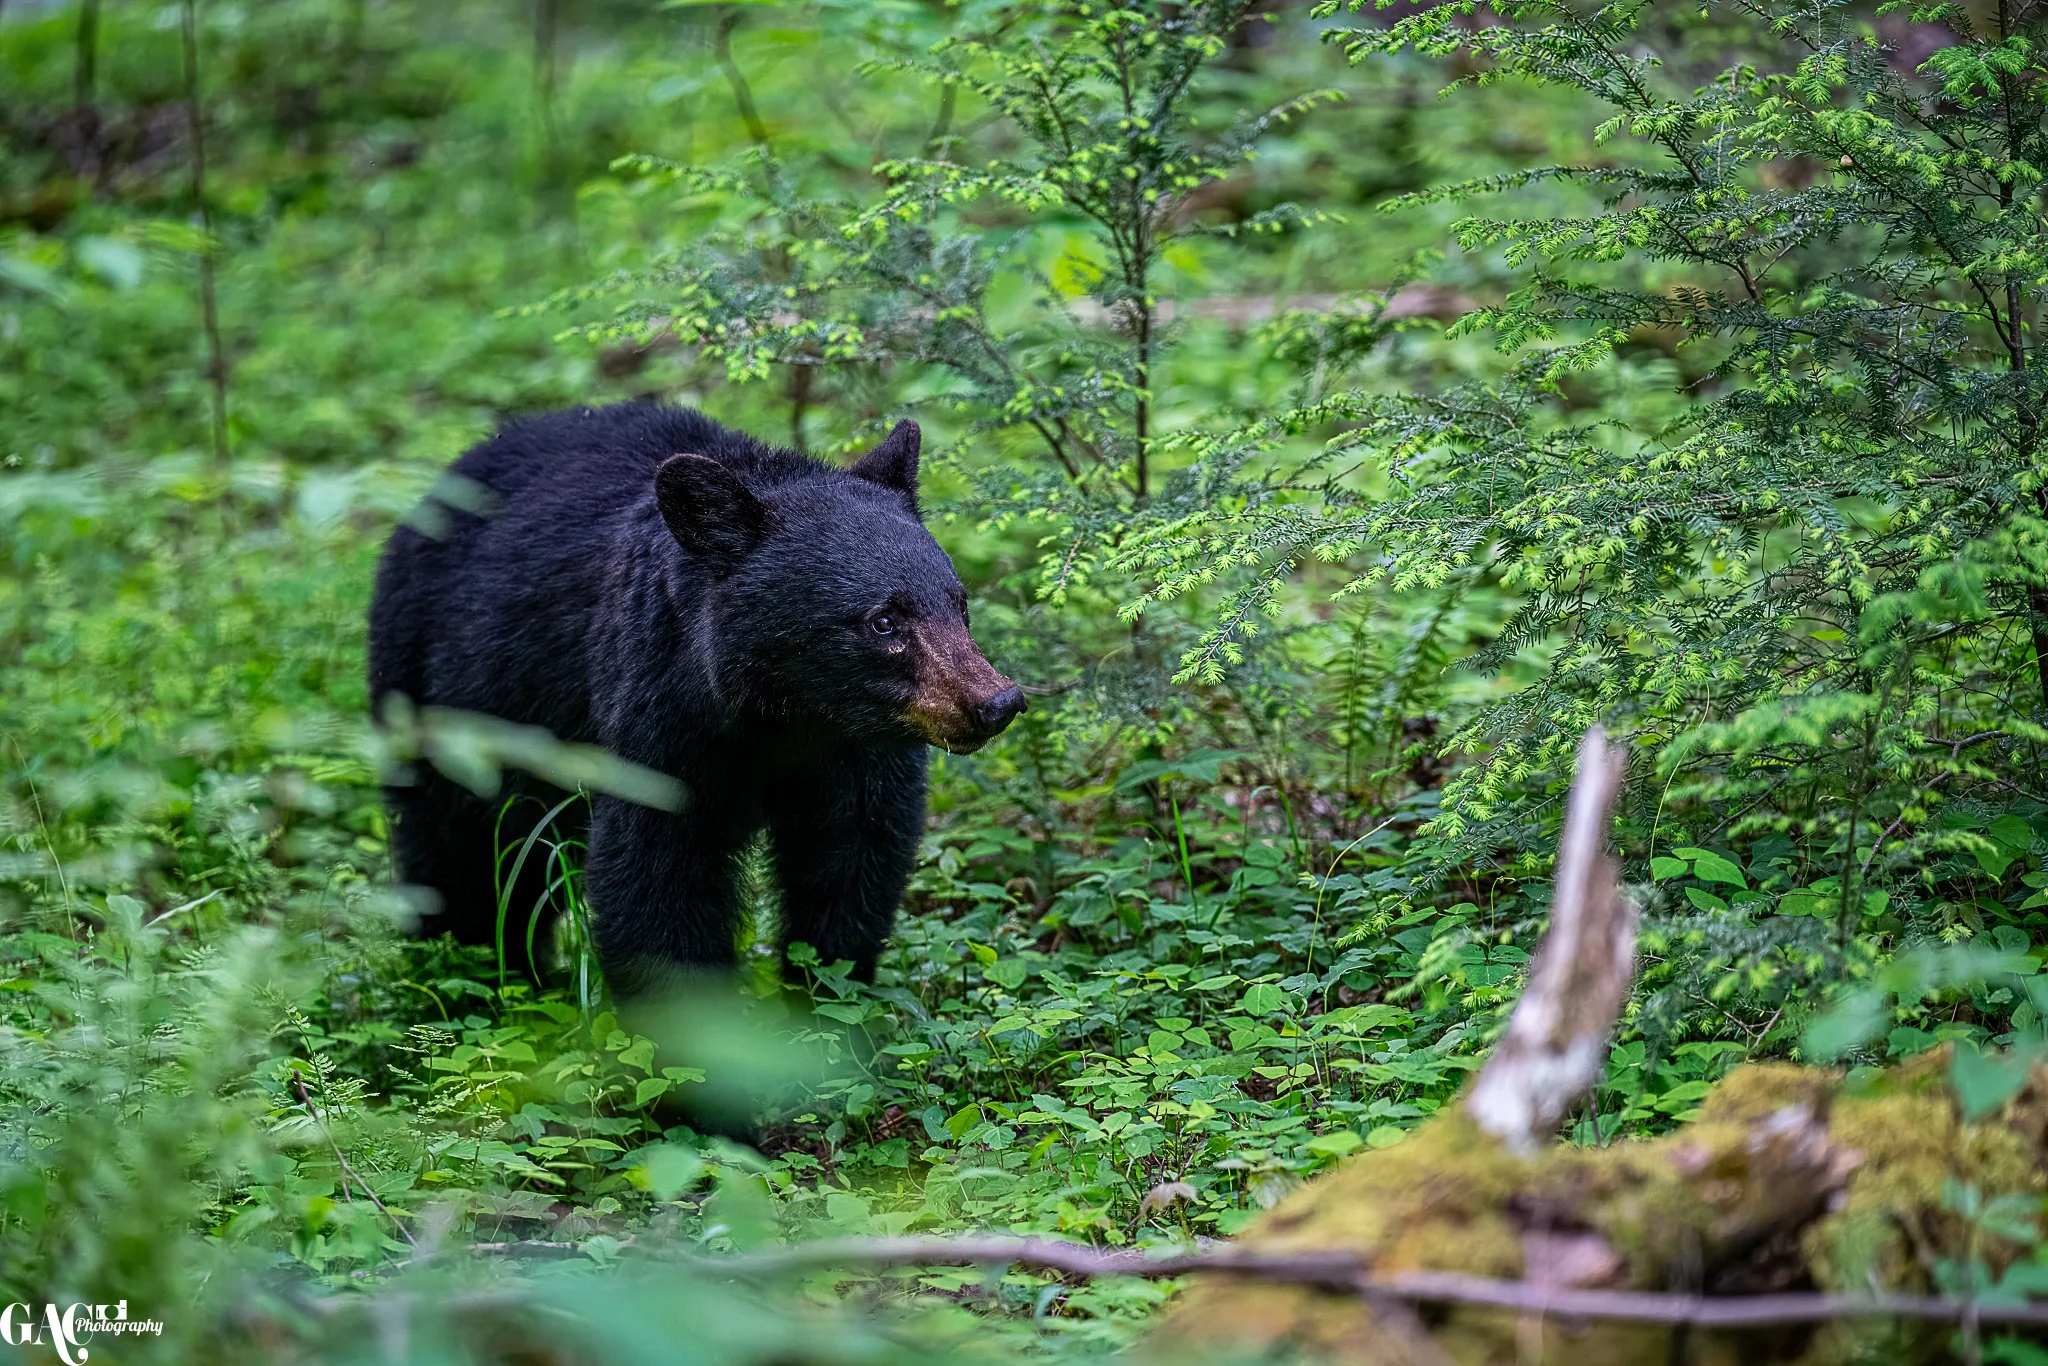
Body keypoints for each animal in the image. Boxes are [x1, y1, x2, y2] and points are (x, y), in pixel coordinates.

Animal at [367, 403, 1025, 997]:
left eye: (959, 602)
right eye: (884, 621)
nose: (996, 702)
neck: (788, 715)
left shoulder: (861, 750)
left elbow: (852, 867)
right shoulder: (662, 717)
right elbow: (656, 880)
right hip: (447, 695)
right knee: (460, 851)